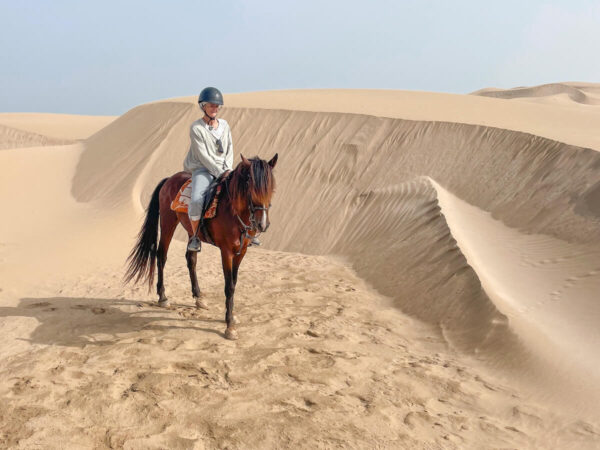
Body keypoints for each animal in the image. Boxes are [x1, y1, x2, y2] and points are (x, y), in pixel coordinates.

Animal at [126, 153, 278, 340]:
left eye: (271, 187)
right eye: (251, 187)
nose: (262, 224)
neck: (233, 211)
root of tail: (169, 179)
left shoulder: (242, 251)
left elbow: (234, 282)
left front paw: (232, 316)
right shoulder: (226, 251)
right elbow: (229, 286)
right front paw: (229, 326)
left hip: (192, 231)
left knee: (191, 259)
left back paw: (199, 297)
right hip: (168, 222)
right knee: (161, 255)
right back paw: (163, 297)